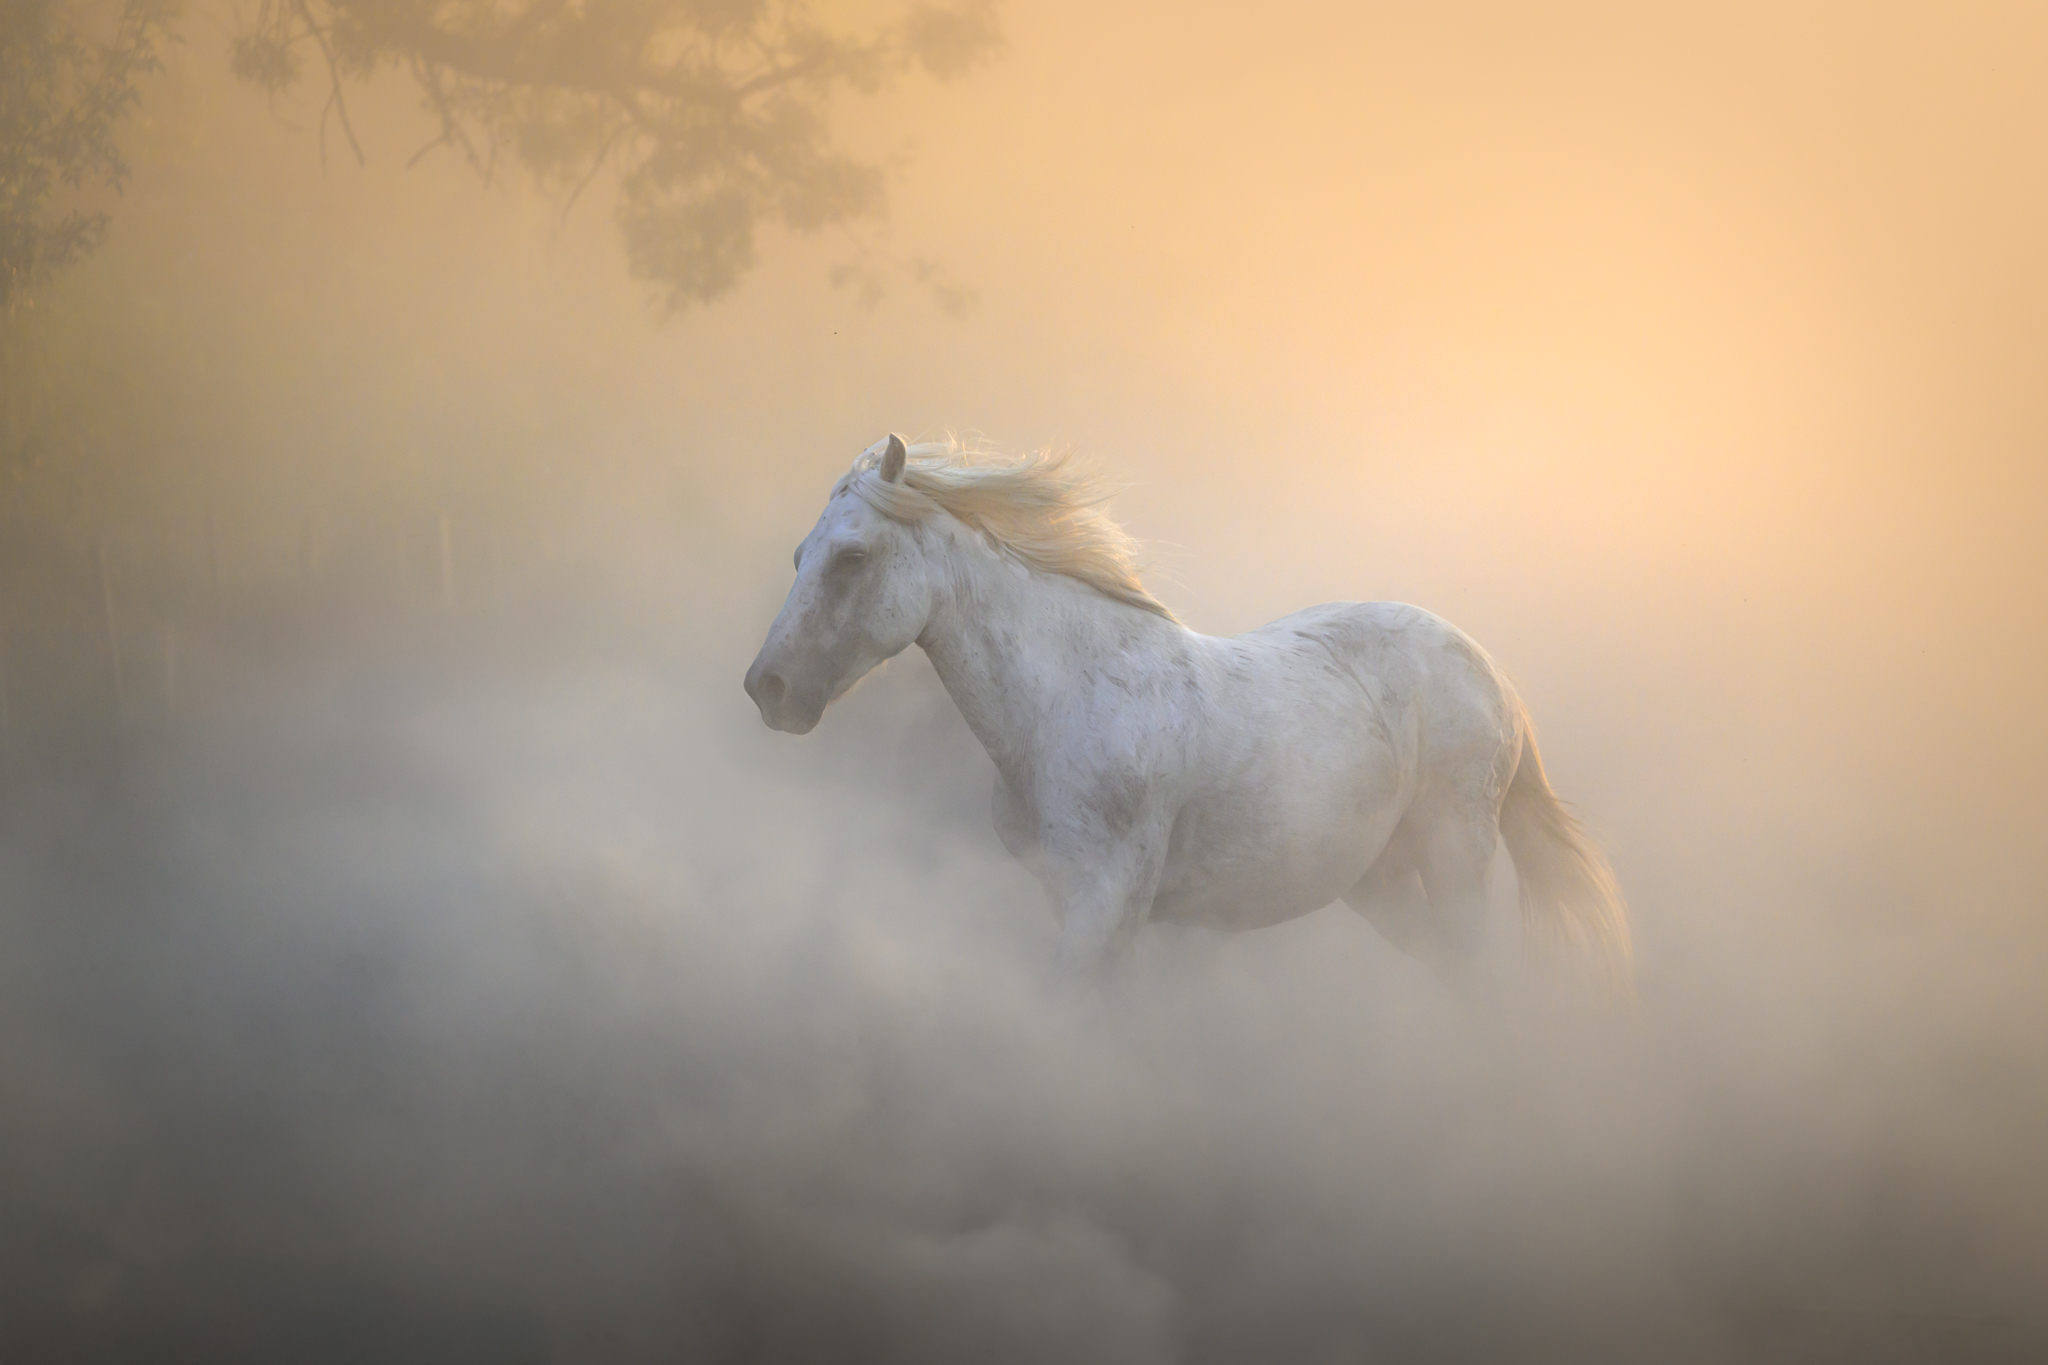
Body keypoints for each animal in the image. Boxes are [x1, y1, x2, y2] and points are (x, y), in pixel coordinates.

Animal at [744, 434, 1631, 993]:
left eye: (852, 557)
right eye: (798, 555)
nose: (768, 688)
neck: (1061, 706)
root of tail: (1492, 674)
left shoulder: (1104, 906)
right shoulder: (1080, 904)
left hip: (1454, 858)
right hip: (1379, 884)